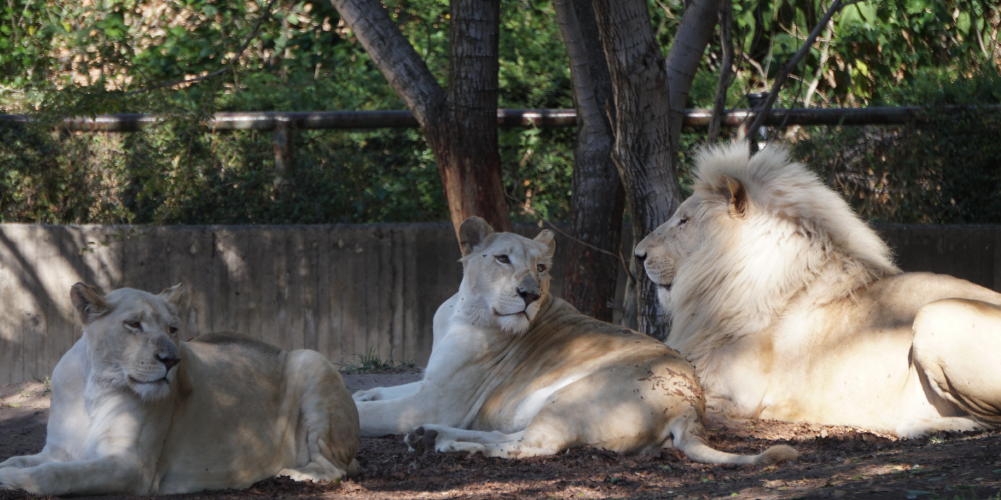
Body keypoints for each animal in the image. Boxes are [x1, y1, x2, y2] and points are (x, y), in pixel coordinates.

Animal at [0, 283, 360, 496]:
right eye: (134, 324)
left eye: (173, 328)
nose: (171, 359)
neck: (96, 385)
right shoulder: (59, 450)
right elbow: (20, 459)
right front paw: (8, 469)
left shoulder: (132, 467)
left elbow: (55, 475)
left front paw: (13, 480)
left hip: (310, 359)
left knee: (335, 467)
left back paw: (294, 473)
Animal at [352, 217, 797, 465]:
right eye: (502, 259)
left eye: (541, 268)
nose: (529, 295)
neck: (464, 307)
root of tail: (692, 408)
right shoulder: (432, 381)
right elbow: (382, 389)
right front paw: (360, 393)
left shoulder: (437, 401)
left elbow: (368, 415)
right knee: (513, 435)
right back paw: (430, 436)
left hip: (575, 395)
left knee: (534, 445)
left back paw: (448, 445)